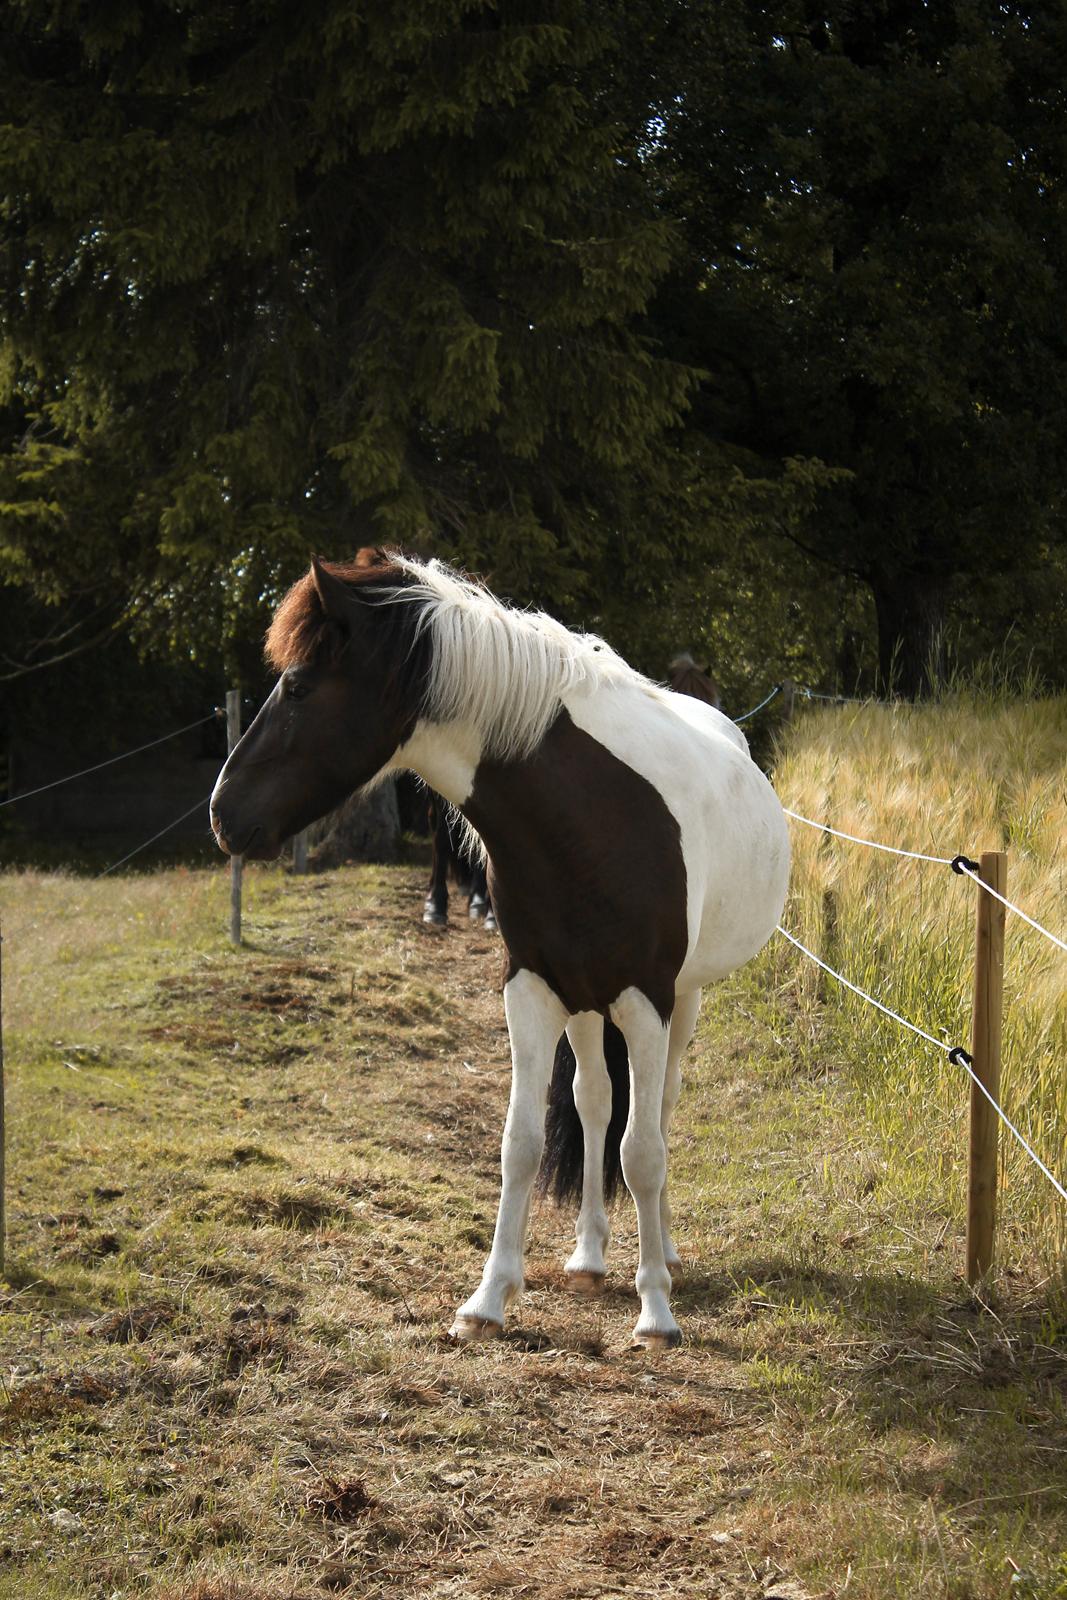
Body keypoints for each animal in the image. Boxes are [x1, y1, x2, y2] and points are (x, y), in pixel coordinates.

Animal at [211, 550, 793, 1350]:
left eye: (298, 686)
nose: (221, 813)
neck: (589, 815)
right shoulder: (533, 989)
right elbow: (523, 1142)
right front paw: (488, 1299)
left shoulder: (644, 998)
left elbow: (642, 1152)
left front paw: (655, 1311)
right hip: (585, 1003)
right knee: (594, 1103)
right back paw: (588, 1254)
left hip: (683, 996)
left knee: (659, 1108)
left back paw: (665, 1252)